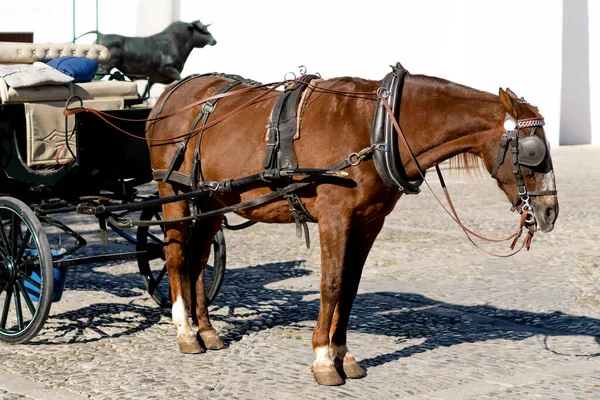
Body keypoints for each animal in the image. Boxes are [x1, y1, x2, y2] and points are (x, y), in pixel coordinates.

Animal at [145, 67, 556, 386]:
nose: (549, 212)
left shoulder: (369, 222)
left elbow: (350, 287)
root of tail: (171, 93)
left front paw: (343, 355)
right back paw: (185, 331)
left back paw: (206, 330)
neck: (378, 131)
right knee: (176, 256)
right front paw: (323, 360)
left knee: (199, 260)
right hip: (172, 192)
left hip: (213, 199)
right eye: (533, 151)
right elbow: (331, 285)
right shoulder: (335, 218)